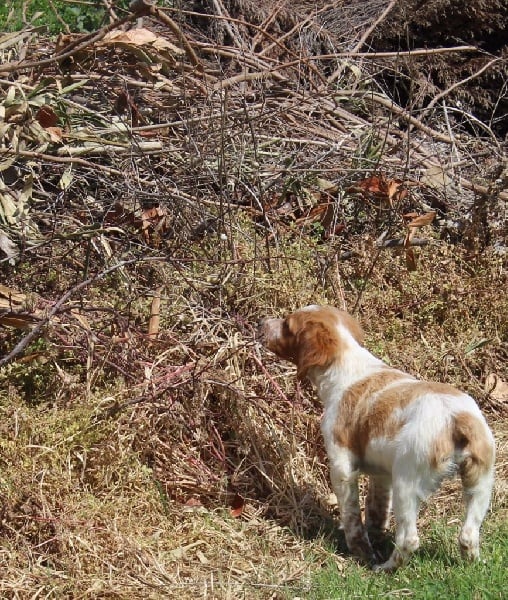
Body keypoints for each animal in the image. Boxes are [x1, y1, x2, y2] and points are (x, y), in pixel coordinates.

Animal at [258, 305, 495, 571]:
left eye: (287, 325)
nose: (260, 323)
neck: (346, 364)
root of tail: (456, 417)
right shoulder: (381, 475)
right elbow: (376, 510)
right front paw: (375, 537)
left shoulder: (341, 466)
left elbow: (352, 517)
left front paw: (361, 552)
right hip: (481, 480)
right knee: (468, 534)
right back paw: (472, 564)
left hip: (407, 483)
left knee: (409, 539)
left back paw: (385, 568)